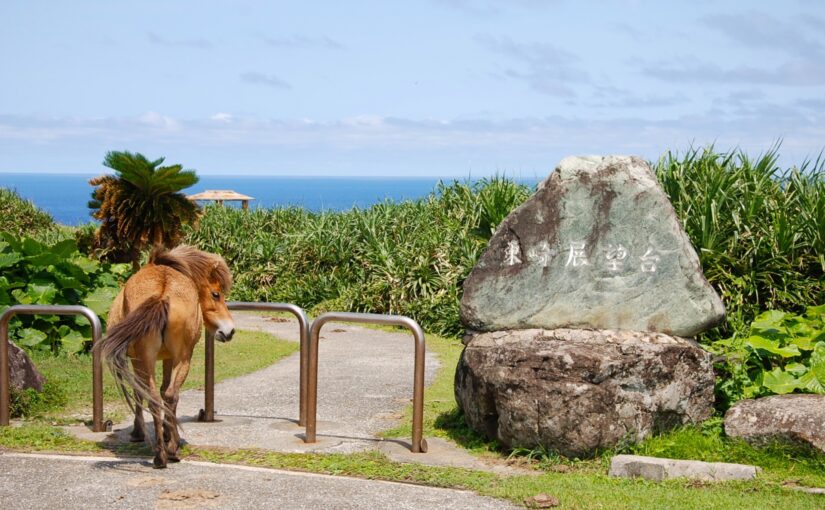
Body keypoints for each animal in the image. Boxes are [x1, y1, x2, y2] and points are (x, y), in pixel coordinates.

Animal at [98, 245, 237, 468]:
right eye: (216, 294)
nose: (229, 331)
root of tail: (163, 294)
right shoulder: (164, 358)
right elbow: (161, 392)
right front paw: (162, 433)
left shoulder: (150, 359)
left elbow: (146, 392)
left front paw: (144, 432)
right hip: (179, 358)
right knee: (166, 396)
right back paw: (166, 451)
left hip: (155, 359)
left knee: (157, 396)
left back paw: (164, 451)